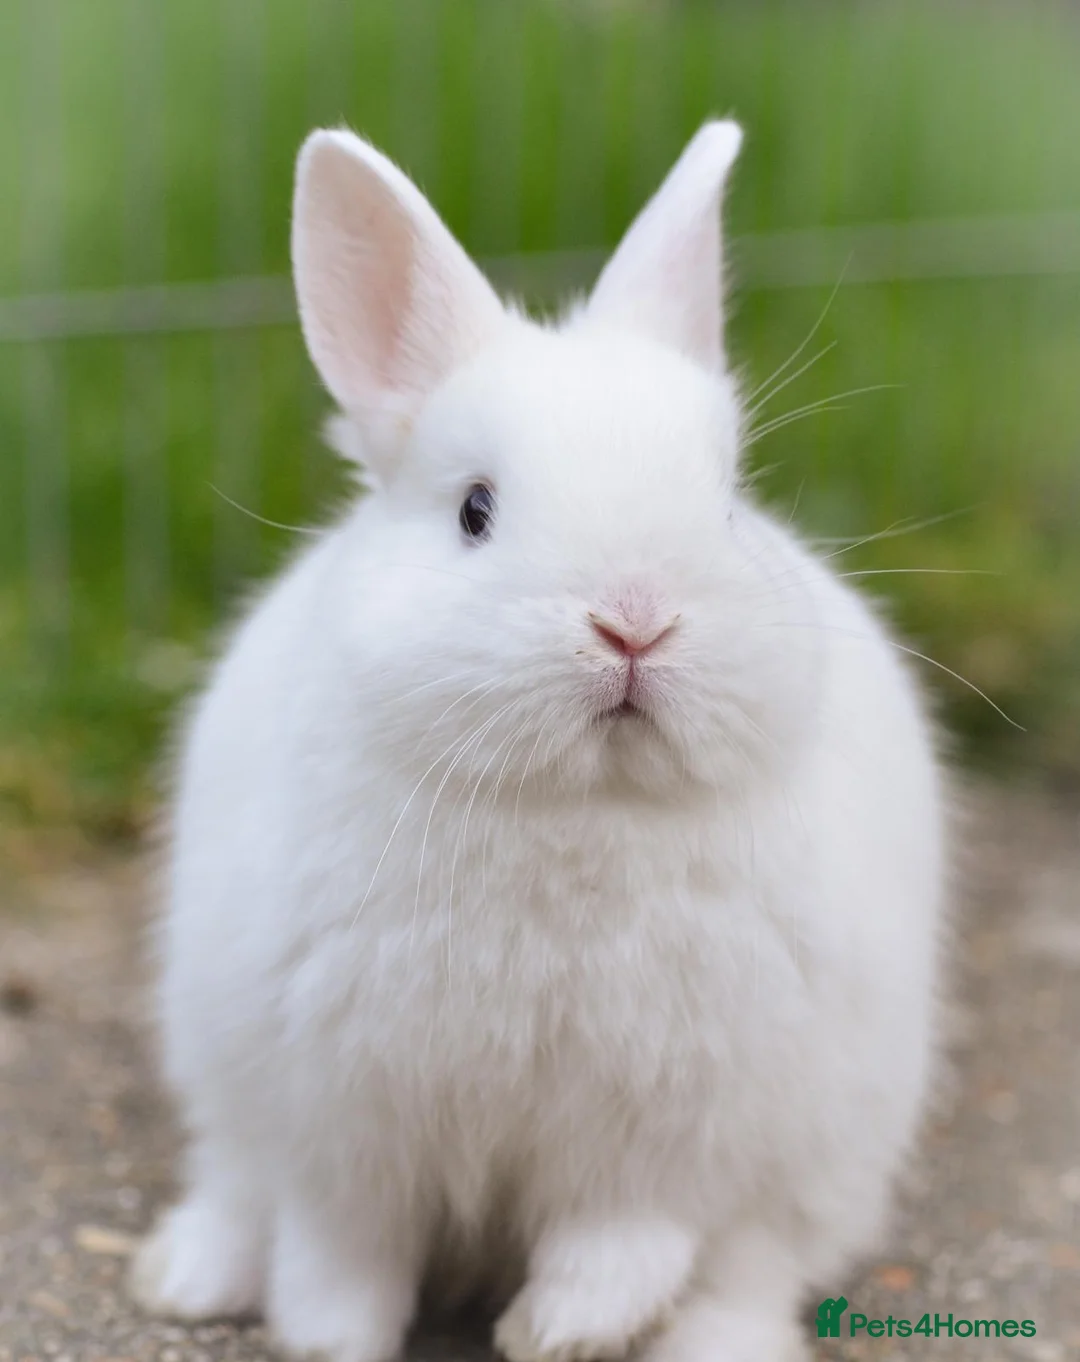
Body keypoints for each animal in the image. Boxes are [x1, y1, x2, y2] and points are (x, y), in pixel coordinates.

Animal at [130, 119, 947, 1362]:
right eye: (476, 510)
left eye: (728, 505)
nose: (635, 622)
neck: (578, 811)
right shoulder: (341, 1121)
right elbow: (338, 1251)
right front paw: (327, 1342)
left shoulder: (669, 1130)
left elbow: (621, 1244)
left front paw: (556, 1332)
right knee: (238, 1190)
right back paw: (184, 1279)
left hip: (827, 1154)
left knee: (748, 1271)